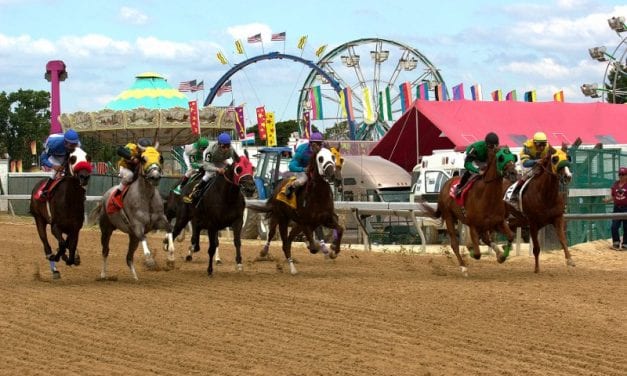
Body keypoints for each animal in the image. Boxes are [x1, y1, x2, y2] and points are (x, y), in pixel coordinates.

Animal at [29, 147, 92, 280]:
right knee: (45, 242)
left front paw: (72, 257)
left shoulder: (75, 228)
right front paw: (56, 256)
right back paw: (53, 265)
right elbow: (63, 243)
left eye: (88, 158)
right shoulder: (55, 226)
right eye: (72, 158)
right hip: (39, 218)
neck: (69, 200)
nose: (84, 176)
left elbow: (70, 245)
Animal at [91, 145, 175, 280]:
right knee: (105, 251)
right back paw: (103, 274)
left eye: (160, 158)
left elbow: (170, 228)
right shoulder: (137, 225)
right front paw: (150, 261)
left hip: (132, 237)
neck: (146, 197)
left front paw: (171, 257)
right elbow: (144, 239)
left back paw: (135, 277)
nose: (155, 177)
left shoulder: (159, 220)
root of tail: (104, 197)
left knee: (129, 258)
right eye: (143, 159)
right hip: (106, 229)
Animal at [420, 147, 516, 276]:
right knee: (455, 244)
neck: (487, 195)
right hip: (449, 217)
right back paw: (463, 267)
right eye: (501, 158)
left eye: (513, 157)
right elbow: (477, 253)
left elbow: (510, 236)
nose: (514, 173)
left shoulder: (498, 221)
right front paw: (470, 249)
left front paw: (502, 256)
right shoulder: (473, 225)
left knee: (485, 238)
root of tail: (446, 184)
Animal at [506, 145, 576, 274]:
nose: (568, 176)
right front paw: (537, 268)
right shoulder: (533, 223)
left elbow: (563, 240)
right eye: (555, 159)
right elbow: (536, 248)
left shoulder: (558, 218)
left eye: (568, 157)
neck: (545, 195)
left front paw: (570, 260)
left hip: (514, 221)